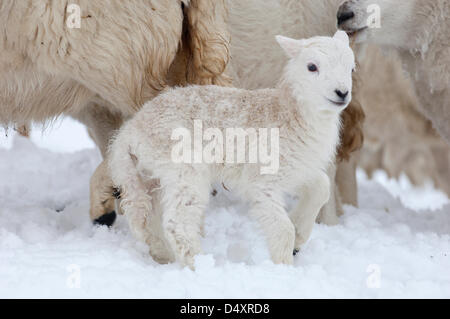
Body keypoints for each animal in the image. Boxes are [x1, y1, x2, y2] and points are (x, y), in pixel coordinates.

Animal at [108, 31, 356, 268]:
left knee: (152, 218)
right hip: (183, 167)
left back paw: (164, 255)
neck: (289, 113)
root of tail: (130, 131)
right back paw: (201, 266)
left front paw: (300, 234)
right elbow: (282, 228)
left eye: (351, 68)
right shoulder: (262, 178)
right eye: (312, 67)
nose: (342, 92)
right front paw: (284, 269)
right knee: (177, 222)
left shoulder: (298, 168)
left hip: (153, 174)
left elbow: (322, 187)